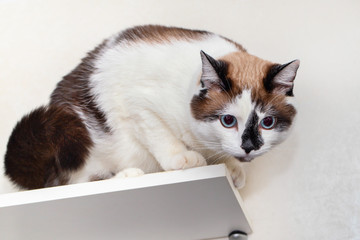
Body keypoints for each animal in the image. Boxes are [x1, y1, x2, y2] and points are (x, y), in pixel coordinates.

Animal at [4, 24, 300, 189]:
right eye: (228, 120)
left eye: (267, 122)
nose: (249, 146)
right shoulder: (139, 104)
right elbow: (162, 136)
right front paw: (182, 158)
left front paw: (231, 167)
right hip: (73, 136)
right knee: (73, 181)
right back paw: (125, 175)